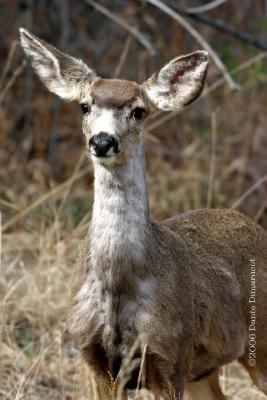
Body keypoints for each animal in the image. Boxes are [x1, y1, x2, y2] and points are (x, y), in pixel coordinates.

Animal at [19, 28, 267, 400]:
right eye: (85, 105)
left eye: (138, 111)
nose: (102, 141)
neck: (119, 285)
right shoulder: (96, 360)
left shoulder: (170, 357)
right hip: (204, 371)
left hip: (258, 341)